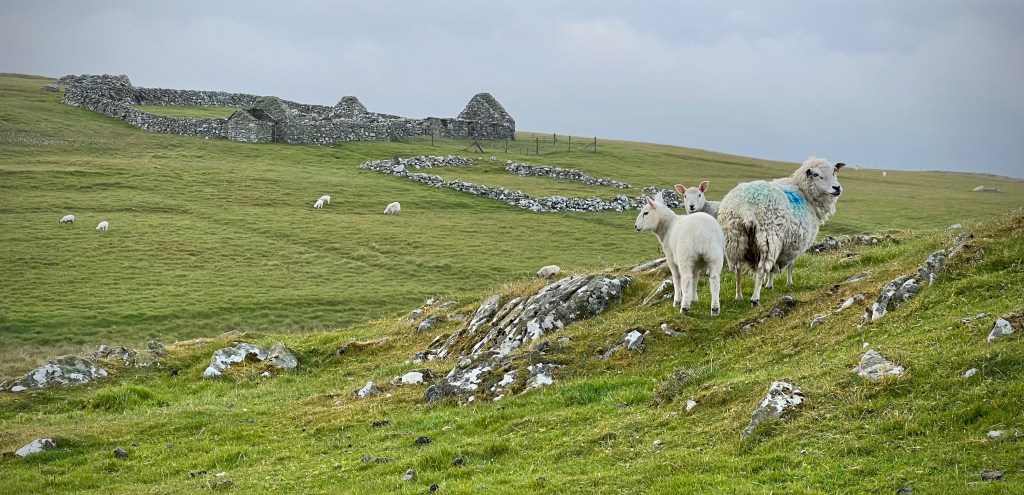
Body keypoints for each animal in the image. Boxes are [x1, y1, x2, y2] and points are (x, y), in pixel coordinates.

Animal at [717, 157, 845, 307]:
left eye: (834, 171)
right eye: (815, 174)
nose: (837, 188)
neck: (804, 194)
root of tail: (745, 207)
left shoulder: (784, 243)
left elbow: (774, 266)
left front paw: (769, 284)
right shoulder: (794, 243)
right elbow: (790, 264)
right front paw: (788, 282)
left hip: (734, 238)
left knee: (737, 268)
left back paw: (739, 296)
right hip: (768, 237)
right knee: (761, 269)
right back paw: (755, 299)